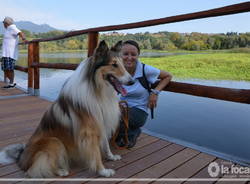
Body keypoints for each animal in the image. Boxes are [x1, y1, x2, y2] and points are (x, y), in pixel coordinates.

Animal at [0, 40, 133, 177]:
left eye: (122, 64)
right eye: (114, 64)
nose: (132, 81)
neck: (97, 90)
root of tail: (21, 157)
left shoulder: (102, 122)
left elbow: (106, 145)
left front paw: (111, 157)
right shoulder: (89, 132)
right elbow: (95, 153)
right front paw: (103, 171)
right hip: (54, 141)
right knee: (37, 168)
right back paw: (61, 171)